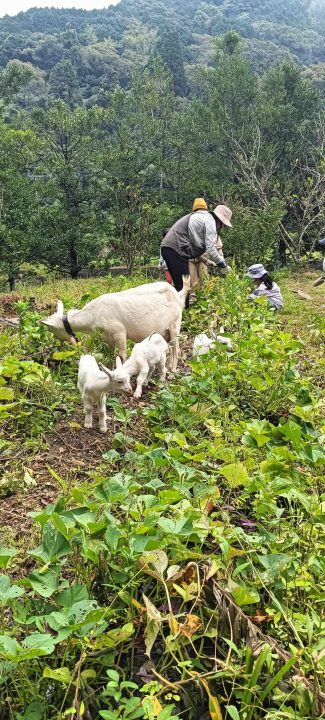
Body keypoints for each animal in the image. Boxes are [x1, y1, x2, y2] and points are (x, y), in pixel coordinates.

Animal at [40, 278, 190, 372]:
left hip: (175, 323)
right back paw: (168, 366)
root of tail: (177, 294)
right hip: (165, 331)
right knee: (169, 346)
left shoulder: (119, 332)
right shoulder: (107, 337)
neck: (93, 314)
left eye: (52, 331)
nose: (61, 344)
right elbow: (111, 353)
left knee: (176, 346)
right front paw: (110, 368)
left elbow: (122, 354)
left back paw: (173, 369)